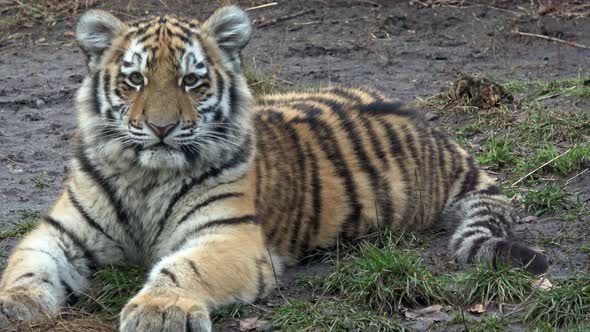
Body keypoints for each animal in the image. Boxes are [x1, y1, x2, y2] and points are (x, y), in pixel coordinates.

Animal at [0, 5, 552, 332]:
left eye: (191, 81)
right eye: (134, 80)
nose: (160, 127)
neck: (147, 176)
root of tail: (444, 138)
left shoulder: (231, 237)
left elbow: (183, 267)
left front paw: (160, 310)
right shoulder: (61, 230)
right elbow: (26, 264)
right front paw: (12, 304)